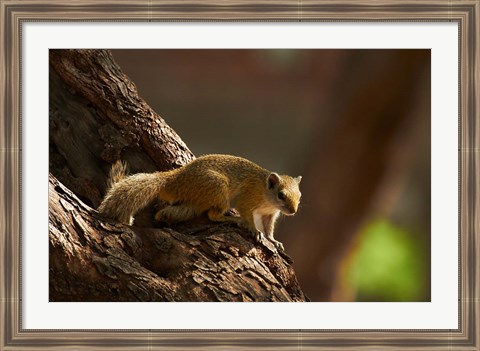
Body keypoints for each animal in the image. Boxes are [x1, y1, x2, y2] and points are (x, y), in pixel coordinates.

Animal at [96, 154, 300, 250]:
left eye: (299, 195)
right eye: (281, 195)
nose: (293, 211)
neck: (267, 196)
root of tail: (175, 179)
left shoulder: (269, 215)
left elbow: (269, 228)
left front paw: (273, 240)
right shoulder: (247, 200)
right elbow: (249, 217)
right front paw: (254, 230)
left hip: (195, 202)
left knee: (170, 213)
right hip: (217, 189)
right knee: (213, 215)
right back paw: (233, 219)